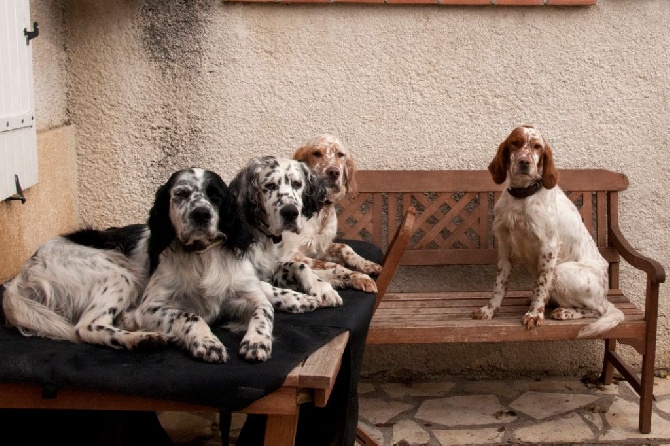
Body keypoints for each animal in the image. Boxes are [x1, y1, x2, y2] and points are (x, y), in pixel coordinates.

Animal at [280, 135, 384, 296]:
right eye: (316, 153)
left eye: (340, 154)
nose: (334, 172)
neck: (320, 211)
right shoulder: (289, 254)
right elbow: (332, 265)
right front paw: (357, 276)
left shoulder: (320, 247)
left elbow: (345, 247)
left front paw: (366, 264)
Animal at [476, 123, 628, 336]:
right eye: (515, 143)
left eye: (537, 146)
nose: (524, 162)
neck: (522, 196)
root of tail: (606, 294)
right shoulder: (505, 245)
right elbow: (500, 284)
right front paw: (490, 310)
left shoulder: (548, 247)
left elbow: (541, 285)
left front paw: (534, 315)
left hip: (562, 272)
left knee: (598, 309)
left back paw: (564, 312)